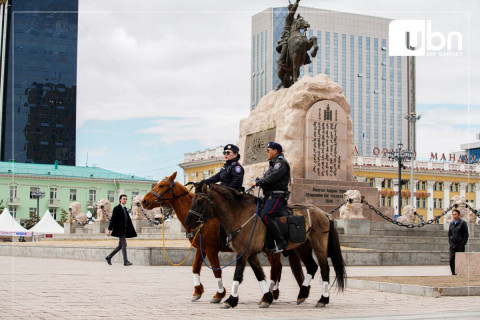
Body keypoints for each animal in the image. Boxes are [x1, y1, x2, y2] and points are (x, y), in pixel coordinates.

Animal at [141, 172, 302, 304]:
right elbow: (195, 268)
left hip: (271, 250)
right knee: (278, 268)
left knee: (276, 268)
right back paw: (272, 293)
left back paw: (270, 294)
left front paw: (219, 294)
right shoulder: (201, 249)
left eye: (162, 185)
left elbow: (216, 270)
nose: (143, 201)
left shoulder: (211, 249)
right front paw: (197, 291)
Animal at [184, 184, 344, 308]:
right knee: (312, 267)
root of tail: (324, 214)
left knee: (324, 269)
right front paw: (267, 297)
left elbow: (238, 274)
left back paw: (323, 299)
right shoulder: (250, 253)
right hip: (302, 247)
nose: (187, 223)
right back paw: (302, 294)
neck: (239, 214)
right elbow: (259, 274)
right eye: (192, 200)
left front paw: (231, 300)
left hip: (319, 246)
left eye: (200, 201)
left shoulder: (242, 252)